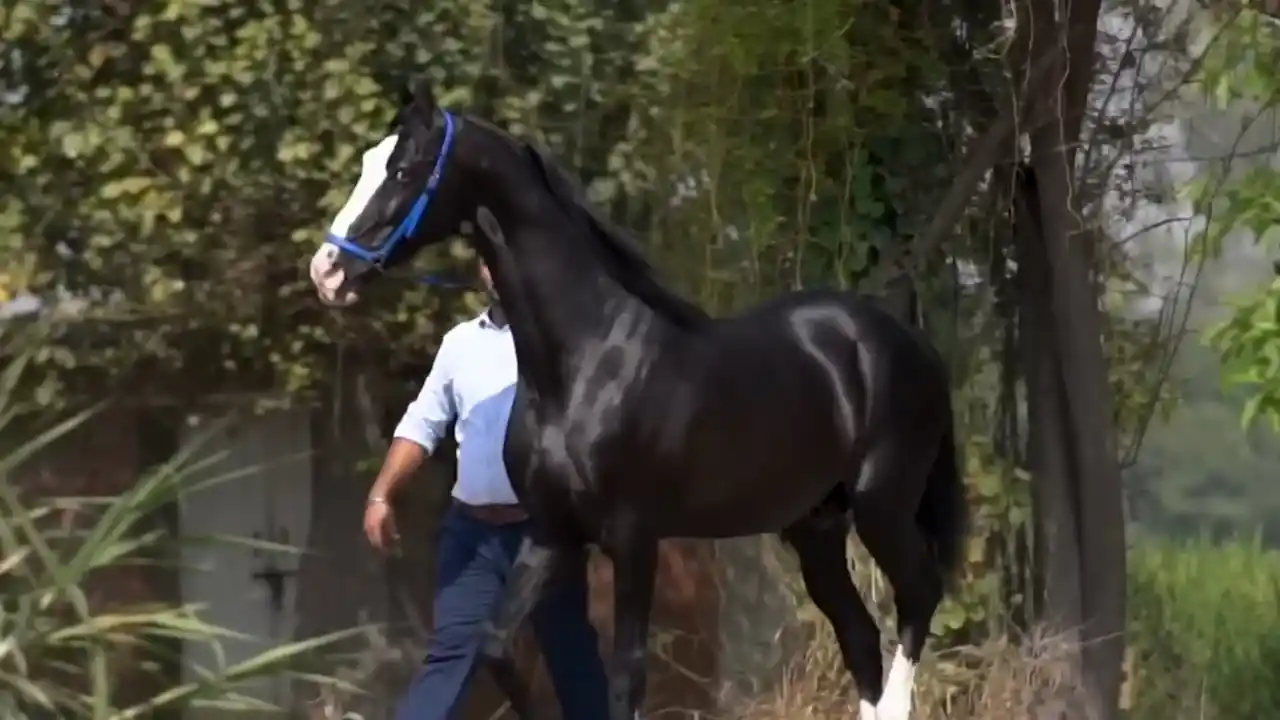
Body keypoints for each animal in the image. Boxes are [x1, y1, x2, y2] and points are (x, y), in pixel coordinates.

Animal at [307, 79, 967, 720]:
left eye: (403, 170)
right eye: (370, 162)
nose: (328, 270)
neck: (587, 358)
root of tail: (908, 340)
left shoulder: (633, 539)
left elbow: (625, 678)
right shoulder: (552, 533)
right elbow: (498, 647)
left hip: (882, 506)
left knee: (918, 598)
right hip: (816, 528)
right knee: (860, 638)